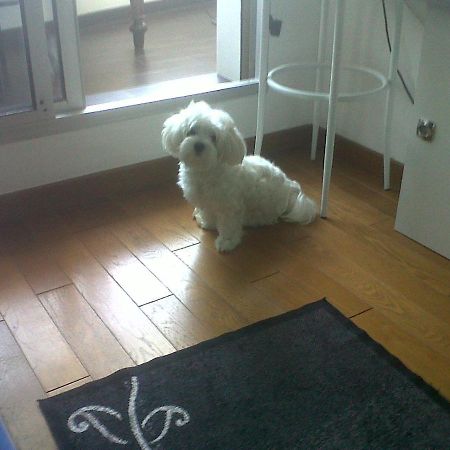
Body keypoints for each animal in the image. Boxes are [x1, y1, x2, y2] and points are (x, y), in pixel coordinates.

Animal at [162, 100, 316, 251]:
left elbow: (228, 226)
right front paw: (208, 223)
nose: (199, 145)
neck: (205, 170)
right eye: (191, 131)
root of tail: (291, 191)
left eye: (213, 137)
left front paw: (227, 242)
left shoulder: (229, 207)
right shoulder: (206, 202)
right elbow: (208, 213)